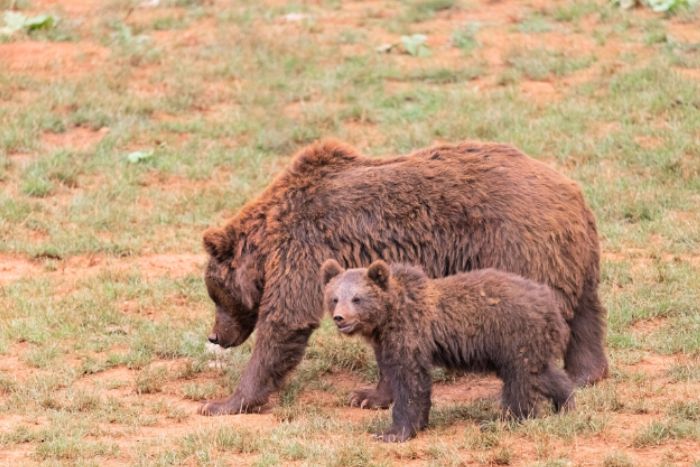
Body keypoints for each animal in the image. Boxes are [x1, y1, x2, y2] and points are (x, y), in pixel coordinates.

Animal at [198, 140, 608, 416]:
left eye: (215, 295)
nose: (216, 336)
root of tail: (571, 192)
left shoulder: (303, 249)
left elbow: (284, 322)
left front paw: (225, 402)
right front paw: (370, 395)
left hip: (516, 249)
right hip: (572, 257)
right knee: (587, 315)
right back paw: (587, 373)